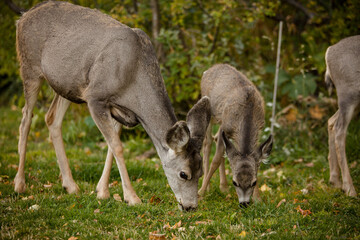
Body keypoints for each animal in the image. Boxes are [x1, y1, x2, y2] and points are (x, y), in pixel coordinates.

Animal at [14, 0, 211, 211]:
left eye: (201, 172)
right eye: (184, 174)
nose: (190, 206)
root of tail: (23, 16)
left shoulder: (119, 110)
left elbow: (112, 142)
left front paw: (102, 191)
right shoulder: (95, 97)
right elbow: (117, 146)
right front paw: (132, 197)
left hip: (67, 84)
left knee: (51, 118)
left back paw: (70, 185)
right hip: (29, 67)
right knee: (26, 119)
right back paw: (20, 184)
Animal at [197, 64, 272, 207]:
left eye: (253, 182)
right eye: (235, 182)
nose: (244, 203)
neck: (247, 114)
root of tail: (209, 69)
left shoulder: (258, 130)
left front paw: (258, 200)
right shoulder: (225, 126)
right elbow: (215, 160)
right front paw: (200, 193)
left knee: (216, 140)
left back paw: (223, 187)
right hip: (208, 108)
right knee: (207, 142)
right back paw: (207, 186)